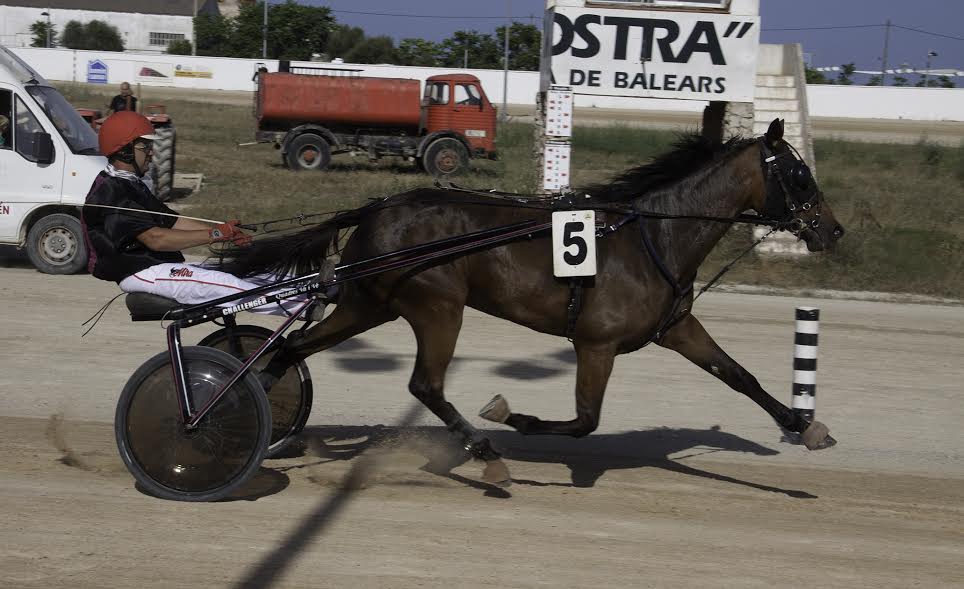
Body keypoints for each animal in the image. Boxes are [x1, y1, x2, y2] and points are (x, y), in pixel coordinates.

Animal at [218, 118, 844, 482]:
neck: (654, 237)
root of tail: (377, 207)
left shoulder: (675, 328)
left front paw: (804, 426)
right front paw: (511, 417)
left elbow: (740, 376)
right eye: (800, 174)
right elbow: (586, 421)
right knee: (425, 385)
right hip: (438, 307)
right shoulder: (597, 343)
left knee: (291, 350)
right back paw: (485, 453)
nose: (833, 231)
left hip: (368, 304)